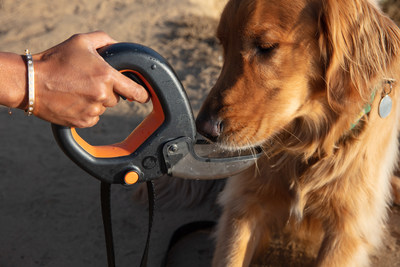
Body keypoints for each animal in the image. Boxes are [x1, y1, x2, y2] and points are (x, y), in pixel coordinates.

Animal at [196, 0, 400, 266]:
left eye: (266, 47)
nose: (203, 128)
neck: (309, 143)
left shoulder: (347, 230)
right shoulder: (243, 204)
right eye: (223, 44)